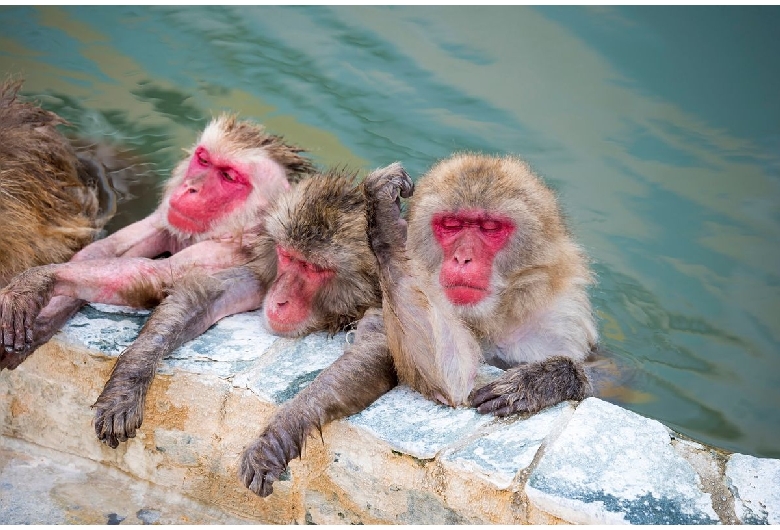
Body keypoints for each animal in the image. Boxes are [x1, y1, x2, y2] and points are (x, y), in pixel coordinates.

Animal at [0, 111, 314, 368]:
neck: (239, 227)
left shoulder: (224, 252)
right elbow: (106, 251)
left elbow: (152, 275)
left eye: (228, 176)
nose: (191, 188)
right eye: (203, 160)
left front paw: (40, 286)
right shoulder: (166, 216)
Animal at [91, 167, 384, 448]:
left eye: (312, 268)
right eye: (287, 256)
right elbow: (212, 293)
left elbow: (375, 349)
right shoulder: (269, 273)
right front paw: (126, 387)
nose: (280, 299)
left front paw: (280, 434)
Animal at [238, 155, 596, 498]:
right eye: (451, 225)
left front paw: (540, 381)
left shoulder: (561, 324)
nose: (462, 259)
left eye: (490, 227)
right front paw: (385, 225)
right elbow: (451, 382)